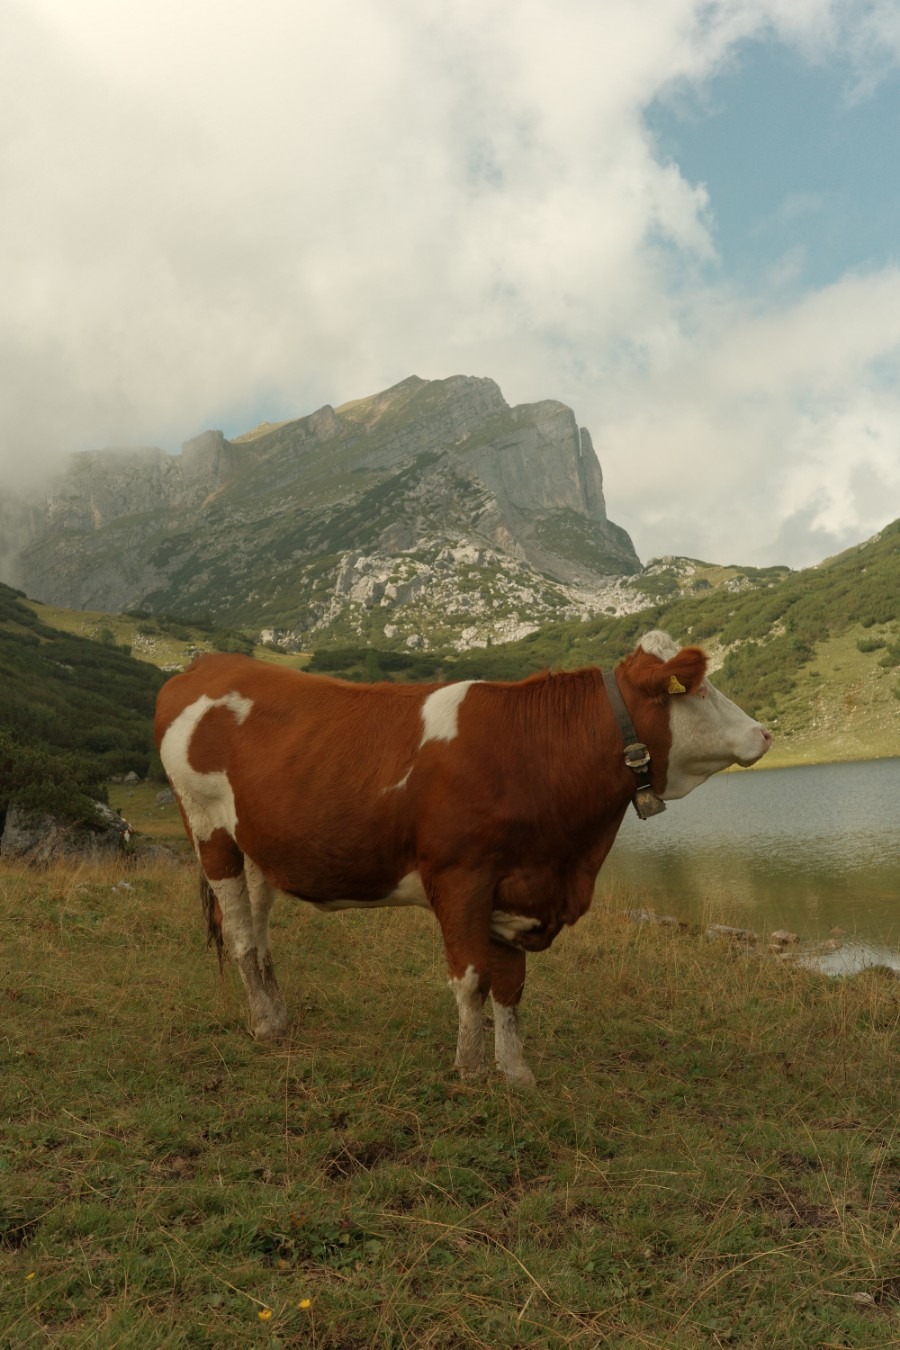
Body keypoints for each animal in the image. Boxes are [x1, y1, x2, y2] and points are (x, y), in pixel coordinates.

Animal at [154, 630, 771, 1085]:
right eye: (697, 688)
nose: (764, 732)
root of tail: (205, 666)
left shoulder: (521, 886)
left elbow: (511, 984)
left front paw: (516, 1072)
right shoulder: (459, 878)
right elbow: (472, 978)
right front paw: (471, 1069)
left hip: (260, 848)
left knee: (260, 939)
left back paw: (279, 1019)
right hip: (210, 832)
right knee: (238, 936)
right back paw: (264, 1026)